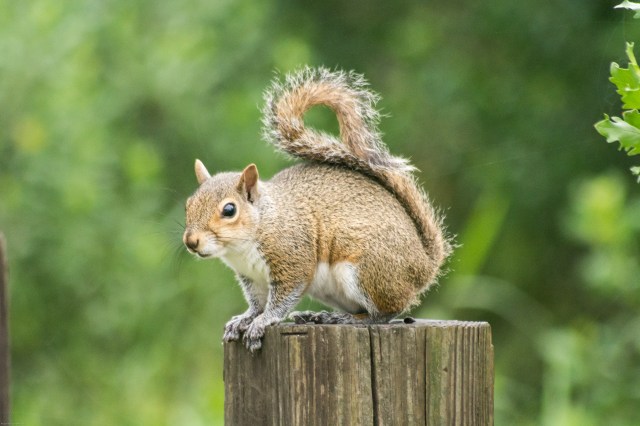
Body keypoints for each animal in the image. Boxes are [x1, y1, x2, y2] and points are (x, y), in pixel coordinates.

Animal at [183, 67, 452, 352]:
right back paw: (318, 315)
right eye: (188, 205)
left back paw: (346, 320)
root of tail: (424, 265)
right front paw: (245, 318)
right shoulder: (251, 277)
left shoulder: (293, 259)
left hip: (367, 271)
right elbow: (256, 303)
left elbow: (282, 298)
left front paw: (263, 322)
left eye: (229, 210)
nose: (191, 241)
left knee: (386, 312)